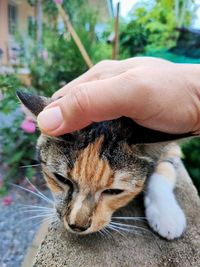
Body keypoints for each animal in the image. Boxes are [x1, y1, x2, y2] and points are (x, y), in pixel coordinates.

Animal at [16, 91, 189, 242]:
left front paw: (167, 215)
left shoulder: (173, 149)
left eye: (114, 191)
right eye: (61, 179)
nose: (77, 226)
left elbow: (164, 168)